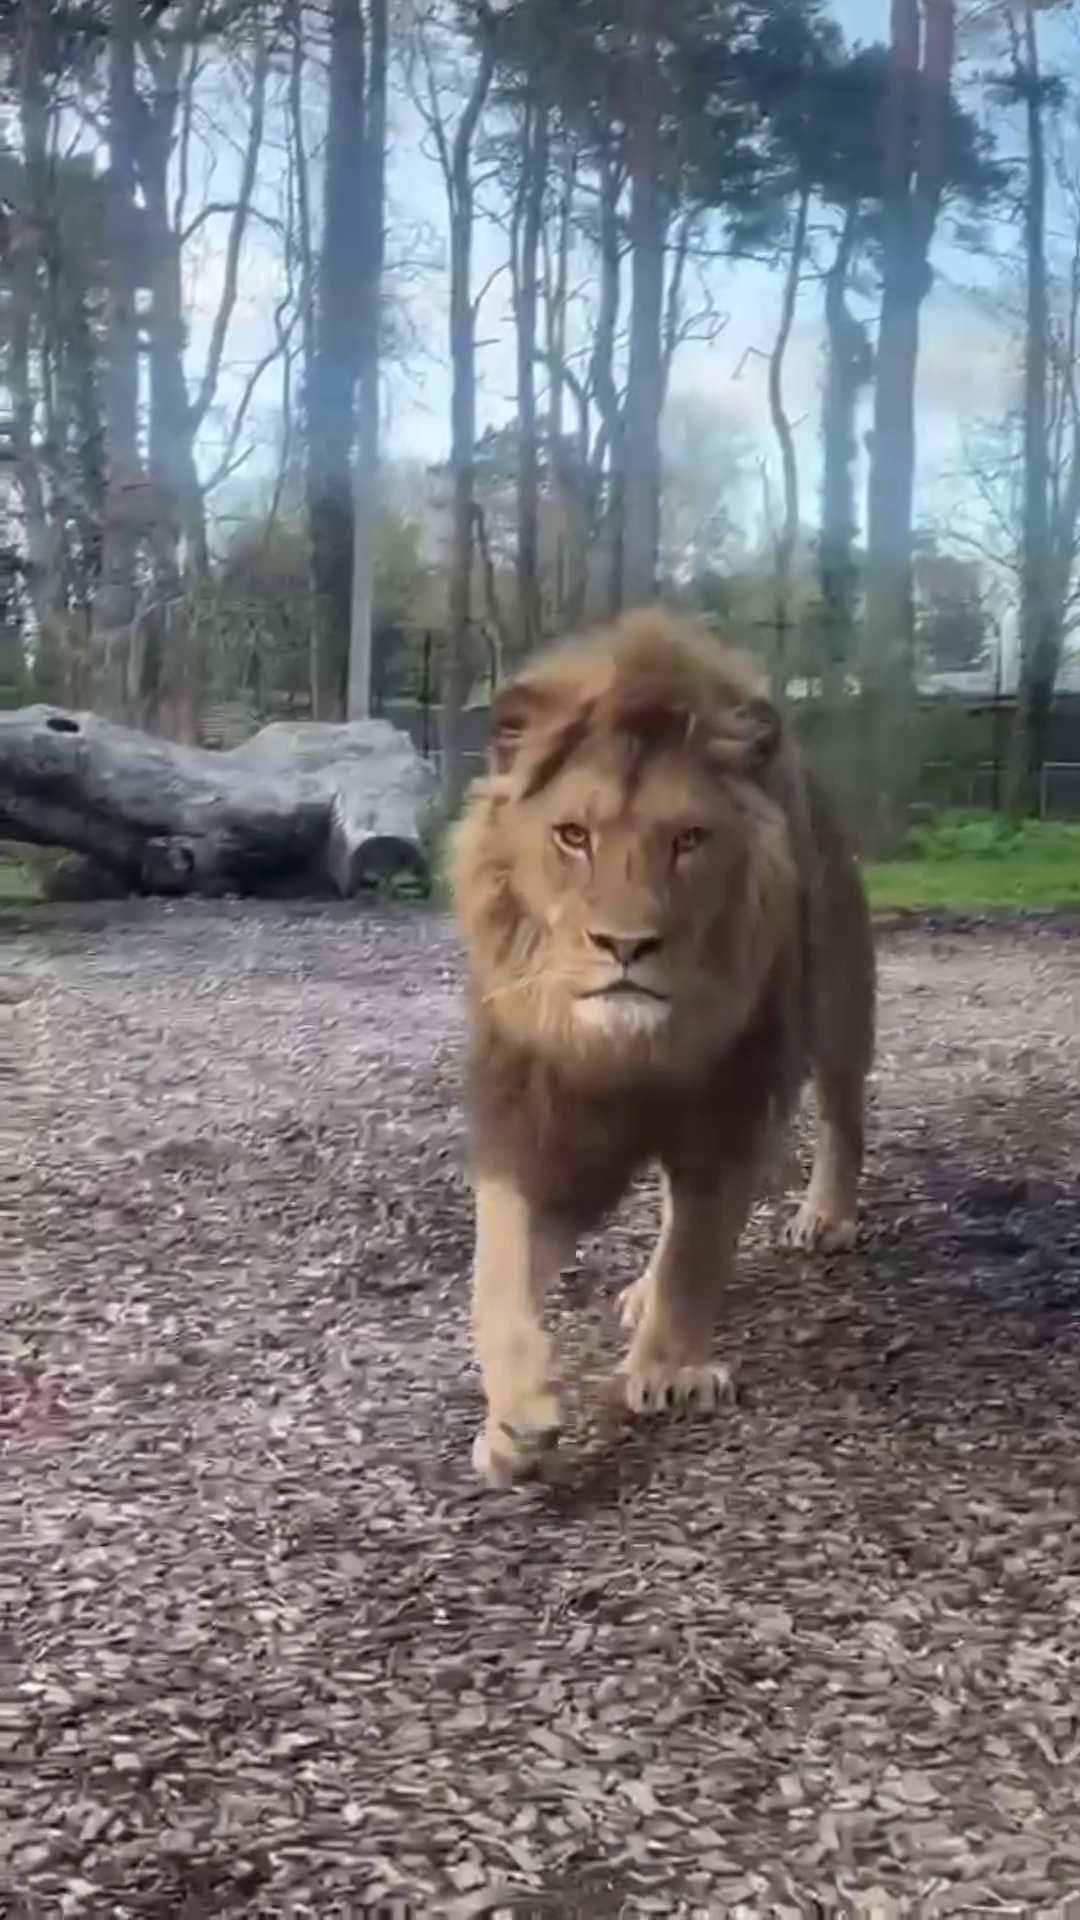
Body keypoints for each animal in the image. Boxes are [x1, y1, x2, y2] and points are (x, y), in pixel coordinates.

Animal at [445, 610, 876, 1482]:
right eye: (573, 836)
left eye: (689, 840)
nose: (625, 945)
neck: (628, 1056)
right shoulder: (535, 1126)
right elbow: (496, 1276)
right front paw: (513, 1423)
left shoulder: (731, 1111)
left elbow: (697, 1247)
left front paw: (669, 1371)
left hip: (842, 994)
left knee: (844, 1113)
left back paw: (824, 1216)